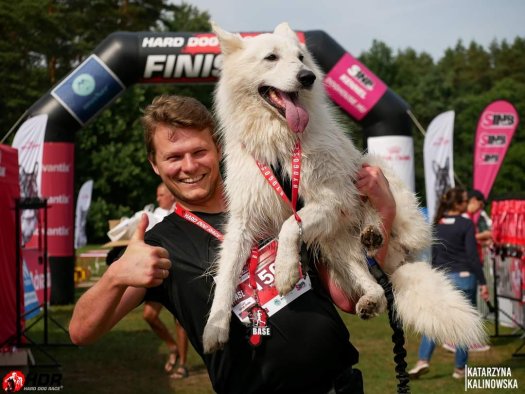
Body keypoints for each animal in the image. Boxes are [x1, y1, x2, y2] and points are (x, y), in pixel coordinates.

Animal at [201, 22, 484, 354]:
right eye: (271, 57)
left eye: (301, 57)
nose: (307, 77)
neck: (279, 142)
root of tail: (399, 265)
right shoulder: (244, 221)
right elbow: (227, 273)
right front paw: (215, 327)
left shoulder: (333, 200)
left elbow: (289, 225)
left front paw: (285, 271)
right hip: (336, 245)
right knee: (373, 282)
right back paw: (371, 296)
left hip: (371, 167)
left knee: (391, 226)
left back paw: (374, 231)